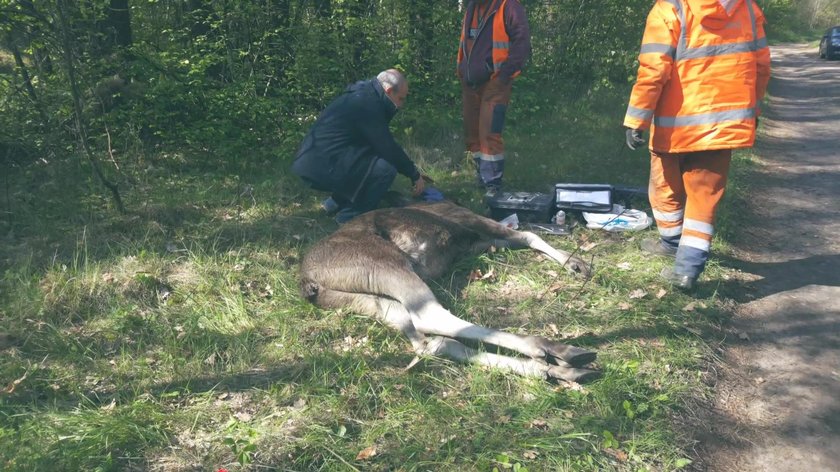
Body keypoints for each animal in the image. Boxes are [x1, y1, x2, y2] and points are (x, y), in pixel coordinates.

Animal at [298, 200, 600, 384]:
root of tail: (309, 280)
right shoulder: (475, 223)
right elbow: (528, 234)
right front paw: (576, 263)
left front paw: (574, 263)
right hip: (384, 263)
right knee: (431, 317)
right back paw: (553, 350)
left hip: (367, 299)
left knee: (428, 343)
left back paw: (553, 369)